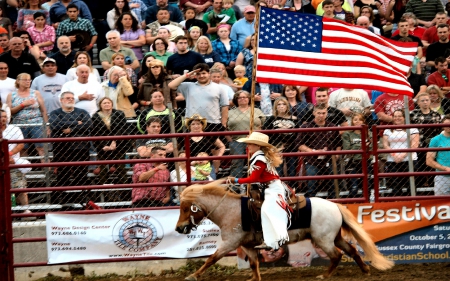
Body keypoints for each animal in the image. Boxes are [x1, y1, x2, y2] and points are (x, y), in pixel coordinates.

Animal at [176, 179, 394, 280]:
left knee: (337, 255)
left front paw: (192, 275)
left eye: (186, 208)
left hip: (323, 239)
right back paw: (365, 270)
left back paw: (324, 275)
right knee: (352, 250)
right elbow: (254, 263)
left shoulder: (230, 243)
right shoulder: (247, 245)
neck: (229, 210)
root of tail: (334, 206)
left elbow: (211, 258)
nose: (179, 228)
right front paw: (254, 278)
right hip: (335, 237)